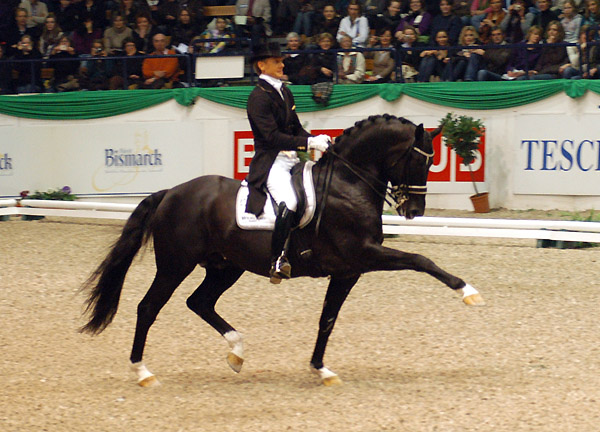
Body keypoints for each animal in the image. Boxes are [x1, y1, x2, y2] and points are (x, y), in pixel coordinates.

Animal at [81, 114, 482, 384]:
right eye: (419, 160)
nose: (414, 211)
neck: (347, 182)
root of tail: (170, 193)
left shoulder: (348, 271)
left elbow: (327, 320)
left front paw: (321, 370)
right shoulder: (362, 255)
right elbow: (420, 258)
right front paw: (468, 292)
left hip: (225, 266)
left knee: (200, 302)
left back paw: (237, 353)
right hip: (175, 264)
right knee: (148, 307)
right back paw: (143, 372)